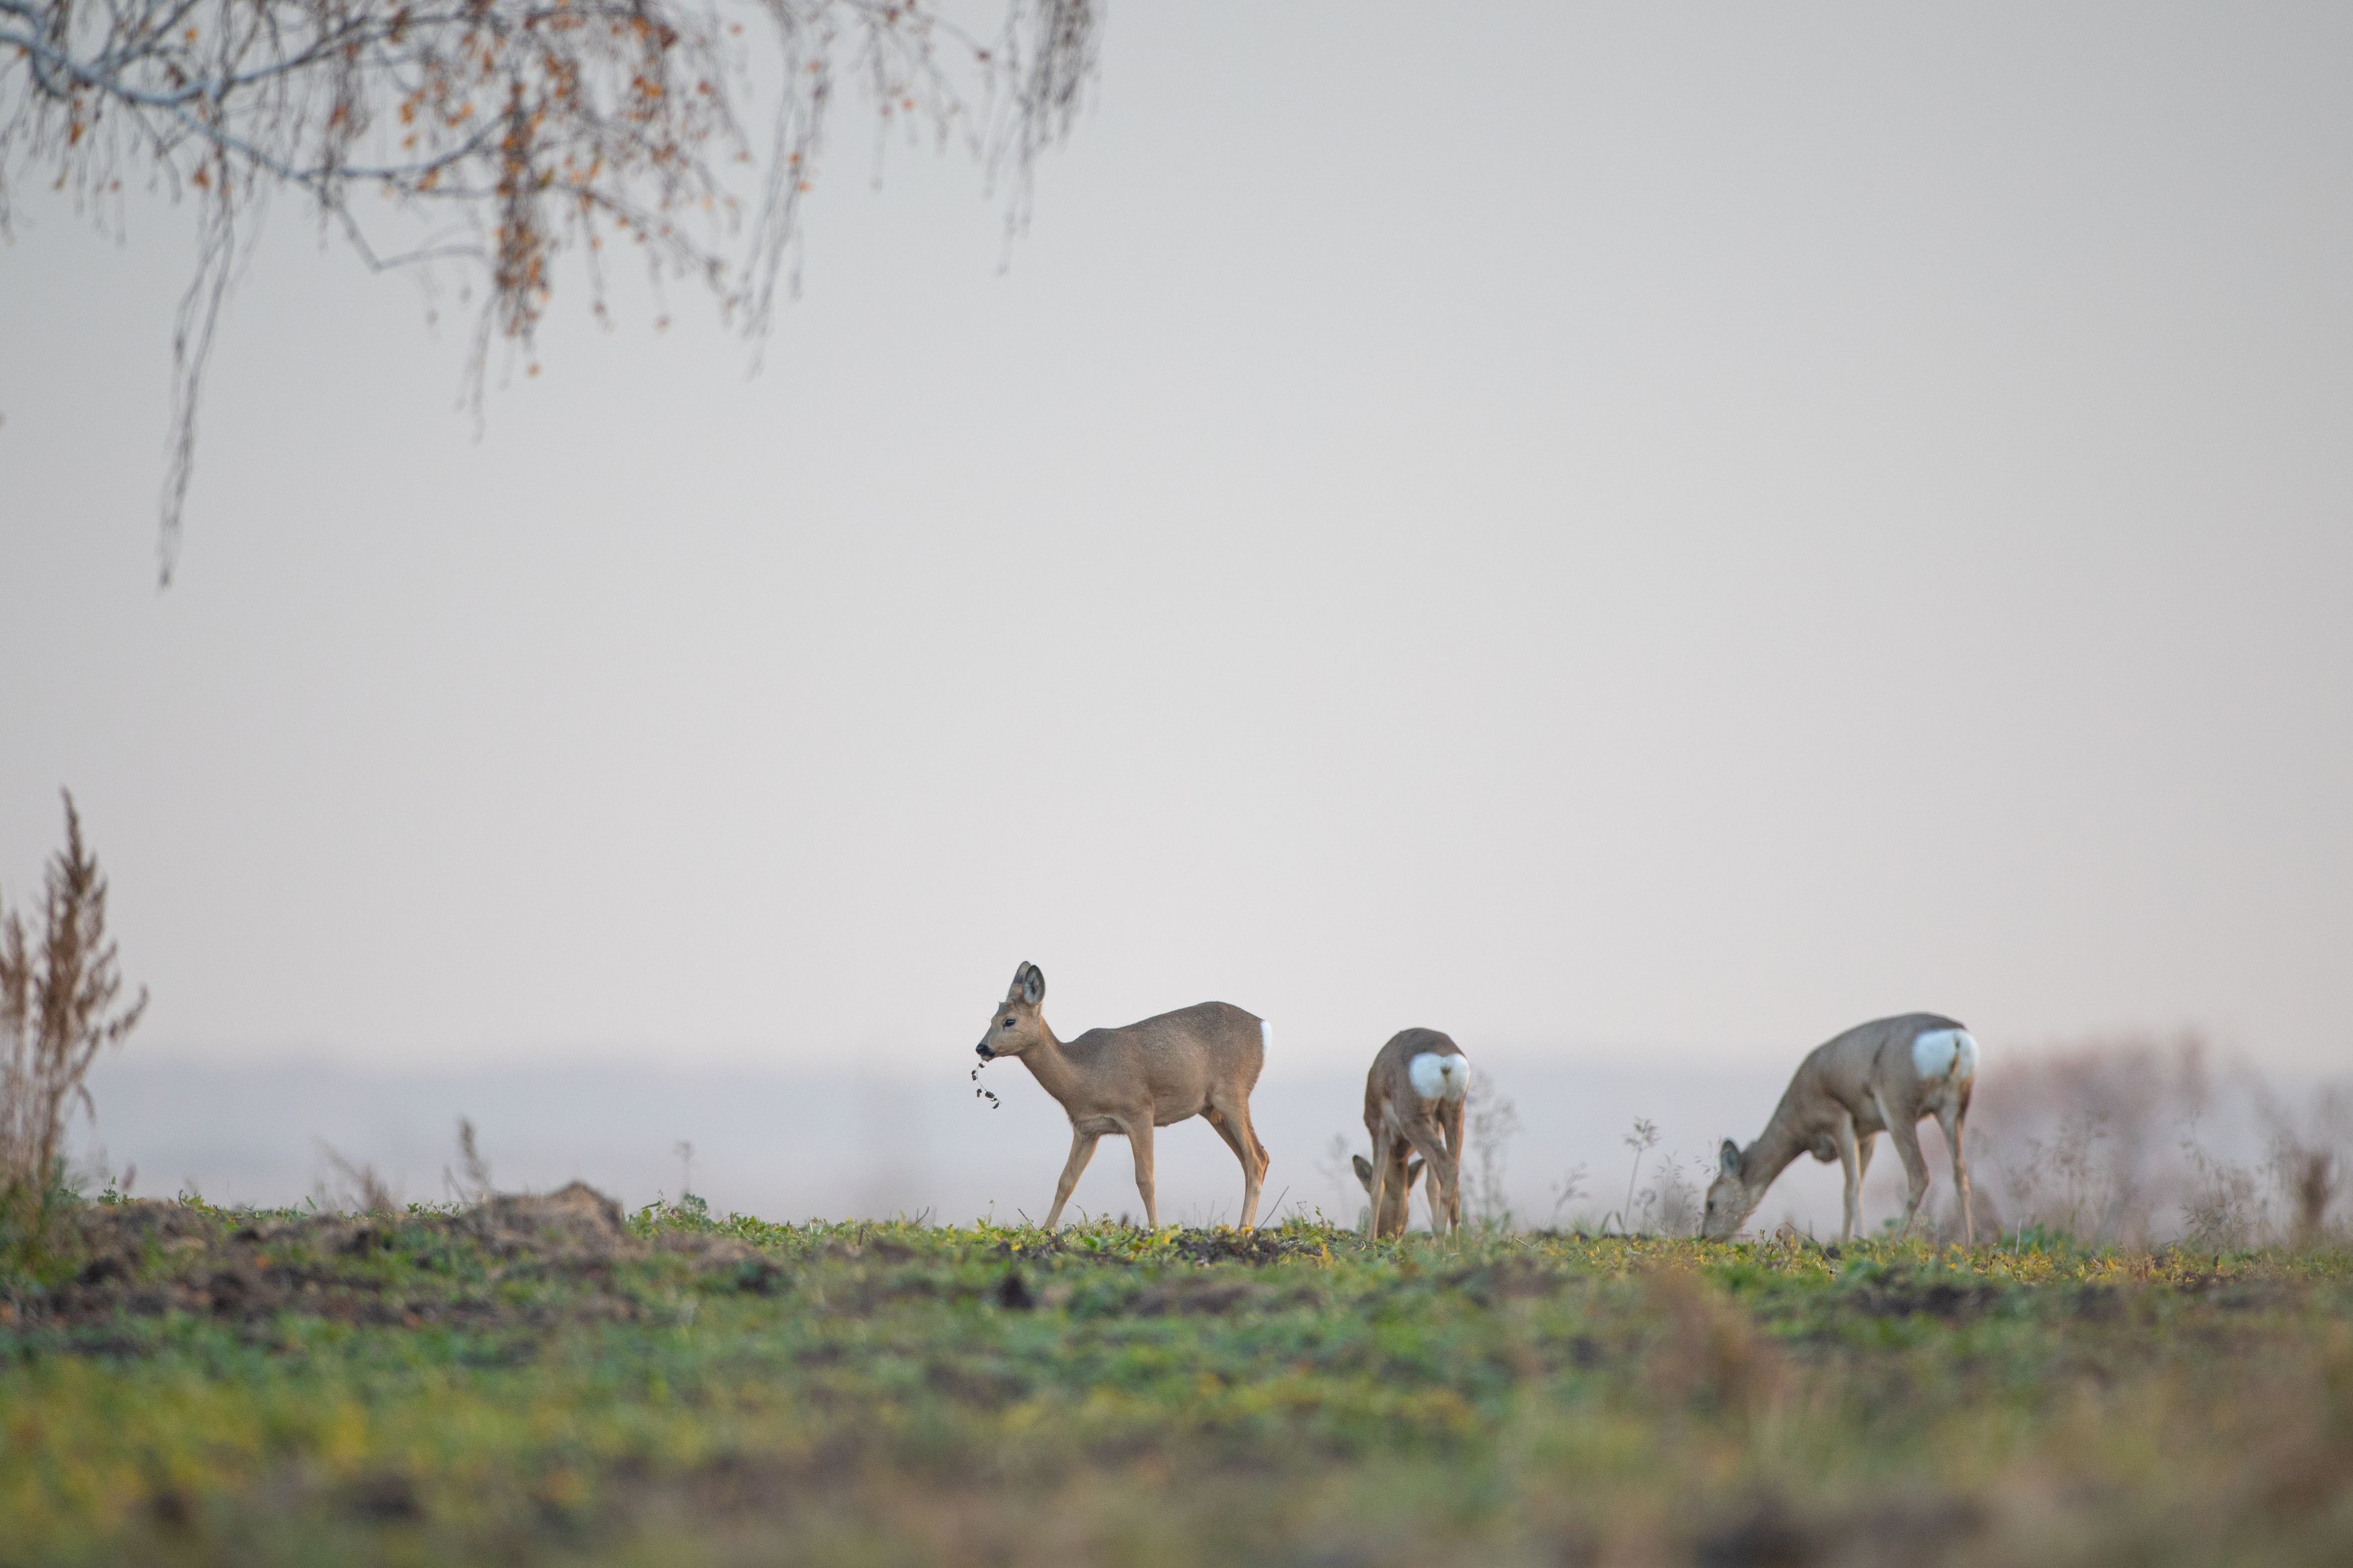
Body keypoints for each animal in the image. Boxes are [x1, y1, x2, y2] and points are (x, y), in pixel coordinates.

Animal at [974, 964, 1271, 1231]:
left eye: (1009, 1021)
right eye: (991, 1019)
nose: (981, 1047)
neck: (1084, 1073)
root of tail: (1262, 1026)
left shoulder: (1139, 1112)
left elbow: (1145, 1180)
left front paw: (1155, 1232)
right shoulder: (1087, 1129)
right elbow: (1065, 1182)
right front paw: (1045, 1232)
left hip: (1232, 1094)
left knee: (1256, 1158)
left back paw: (1243, 1230)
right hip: (1212, 1109)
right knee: (1256, 1158)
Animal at [1365, 1030, 1468, 1241]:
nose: (1388, 1234)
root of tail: (1443, 1057)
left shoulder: (1379, 1131)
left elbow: (1377, 1186)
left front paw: (1370, 1240)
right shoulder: (1436, 1126)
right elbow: (1431, 1185)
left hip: (1413, 1124)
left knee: (1448, 1169)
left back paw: (1440, 1242)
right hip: (1454, 1118)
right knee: (1454, 1178)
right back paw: (1454, 1243)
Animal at [1704, 1020, 1977, 1250]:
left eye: (1711, 1203)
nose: (1705, 1236)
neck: (1796, 1120)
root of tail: (1956, 1037)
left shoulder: (1839, 1118)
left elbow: (1851, 1189)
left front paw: (1856, 1242)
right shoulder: (1866, 1135)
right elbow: (1854, 1187)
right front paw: (1846, 1242)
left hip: (1897, 1106)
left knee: (1920, 1174)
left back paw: (1893, 1244)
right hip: (1953, 1109)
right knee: (1960, 1173)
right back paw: (1968, 1246)